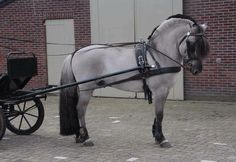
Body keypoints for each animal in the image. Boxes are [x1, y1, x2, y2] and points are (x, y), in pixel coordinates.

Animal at [58, 14, 208, 147]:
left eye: (202, 44)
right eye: (190, 43)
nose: (197, 69)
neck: (158, 56)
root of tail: (76, 52)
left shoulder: (162, 92)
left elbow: (157, 114)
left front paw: (156, 135)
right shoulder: (160, 91)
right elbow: (160, 114)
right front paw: (162, 139)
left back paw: (79, 136)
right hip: (86, 89)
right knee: (80, 109)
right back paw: (86, 138)